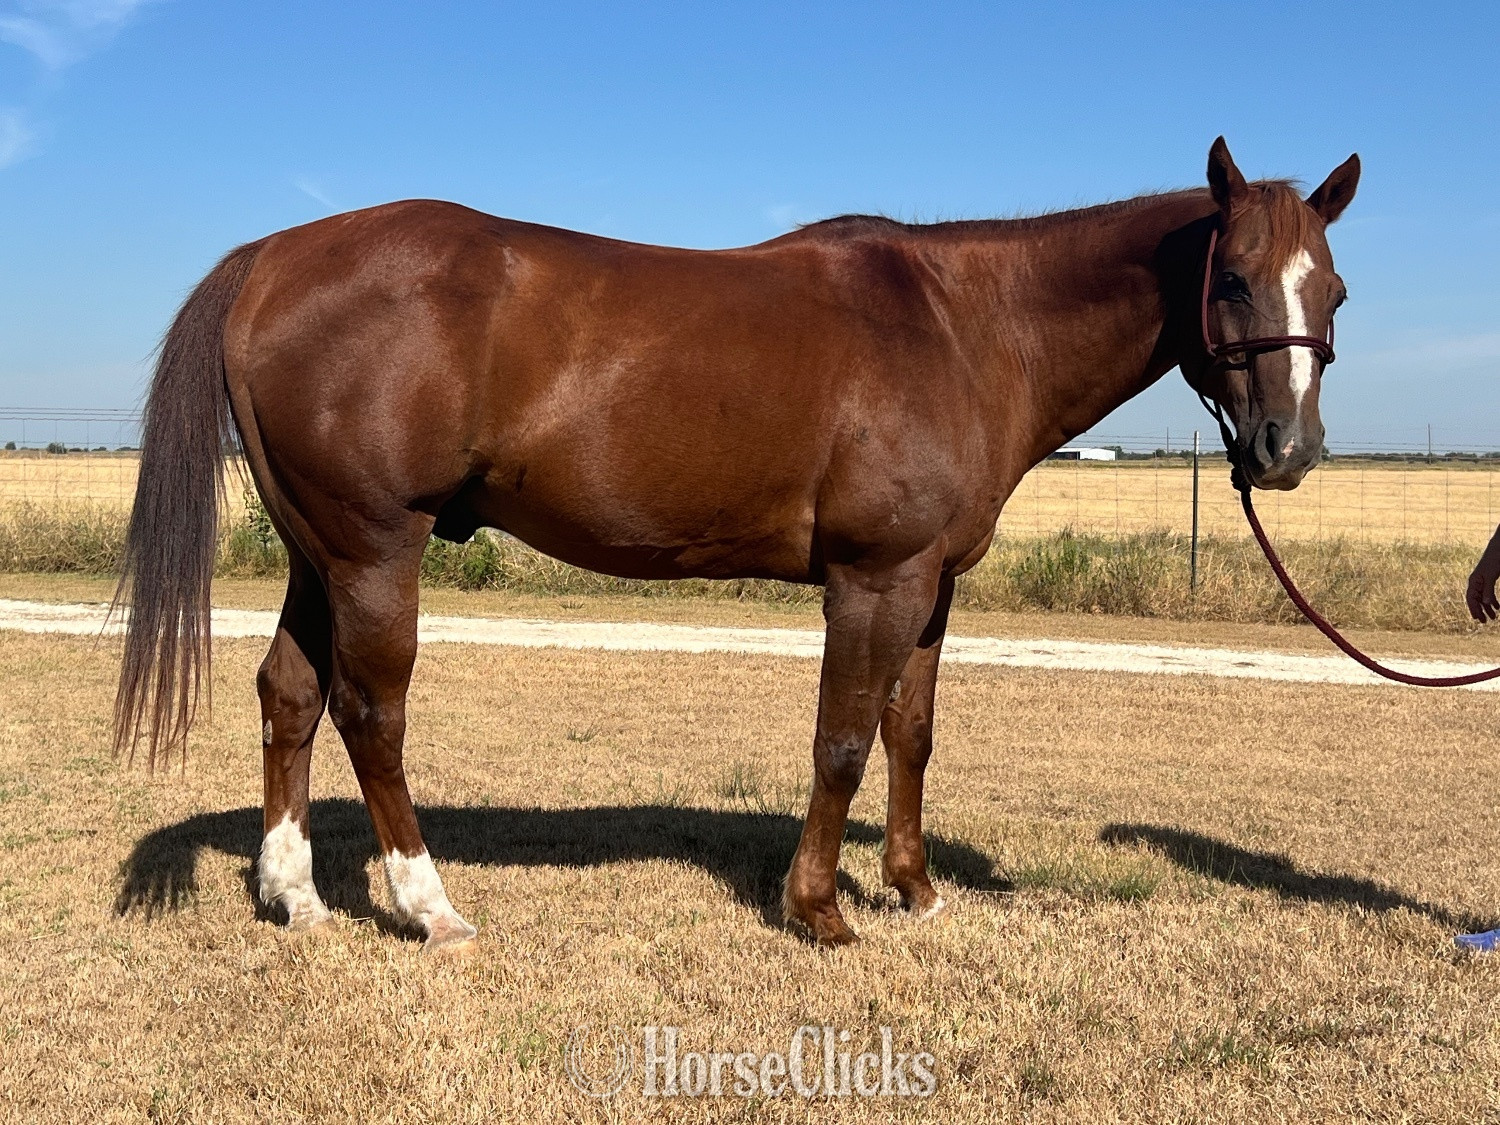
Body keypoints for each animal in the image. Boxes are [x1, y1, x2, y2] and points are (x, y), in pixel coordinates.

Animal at [115, 137, 1359, 949]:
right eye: (1232, 279)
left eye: (1336, 289)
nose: (1287, 449)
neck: (964, 326)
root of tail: (272, 257)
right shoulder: (872, 581)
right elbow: (842, 741)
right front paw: (819, 910)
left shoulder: (932, 587)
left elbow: (911, 735)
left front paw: (914, 890)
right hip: (377, 550)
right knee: (372, 712)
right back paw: (429, 906)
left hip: (319, 551)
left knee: (288, 693)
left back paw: (296, 897)